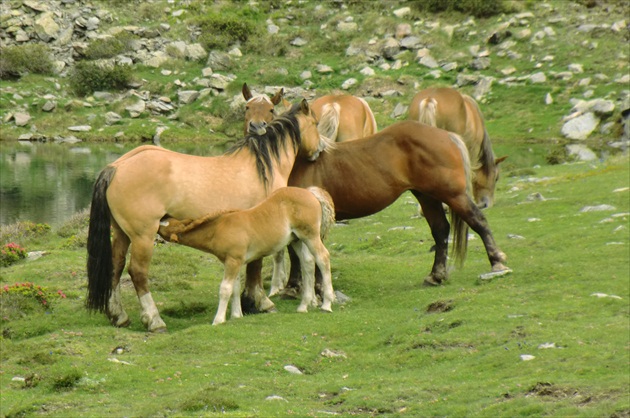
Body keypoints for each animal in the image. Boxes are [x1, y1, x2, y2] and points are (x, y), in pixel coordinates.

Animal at [157, 186, 336, 326]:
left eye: (163, 224)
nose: (158, 219)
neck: (218, 228)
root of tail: (311, 193)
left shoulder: (233, 261)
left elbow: (225, 288)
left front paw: (218, 320)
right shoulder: (232, 261)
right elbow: (235, 288)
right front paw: (237, 315)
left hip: (310, 236)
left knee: (323, 258)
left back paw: (327, 304)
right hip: (297, 239)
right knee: (308, 262)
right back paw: (303, 306)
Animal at [270, 119, 512, 298]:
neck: (298, 161)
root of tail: (446, 135)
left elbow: (300, 251)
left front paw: (298, 287)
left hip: (453, 195)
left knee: (477, 220)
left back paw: (497, 262)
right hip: (427, 197)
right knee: (441, 230)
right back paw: (436, 275)